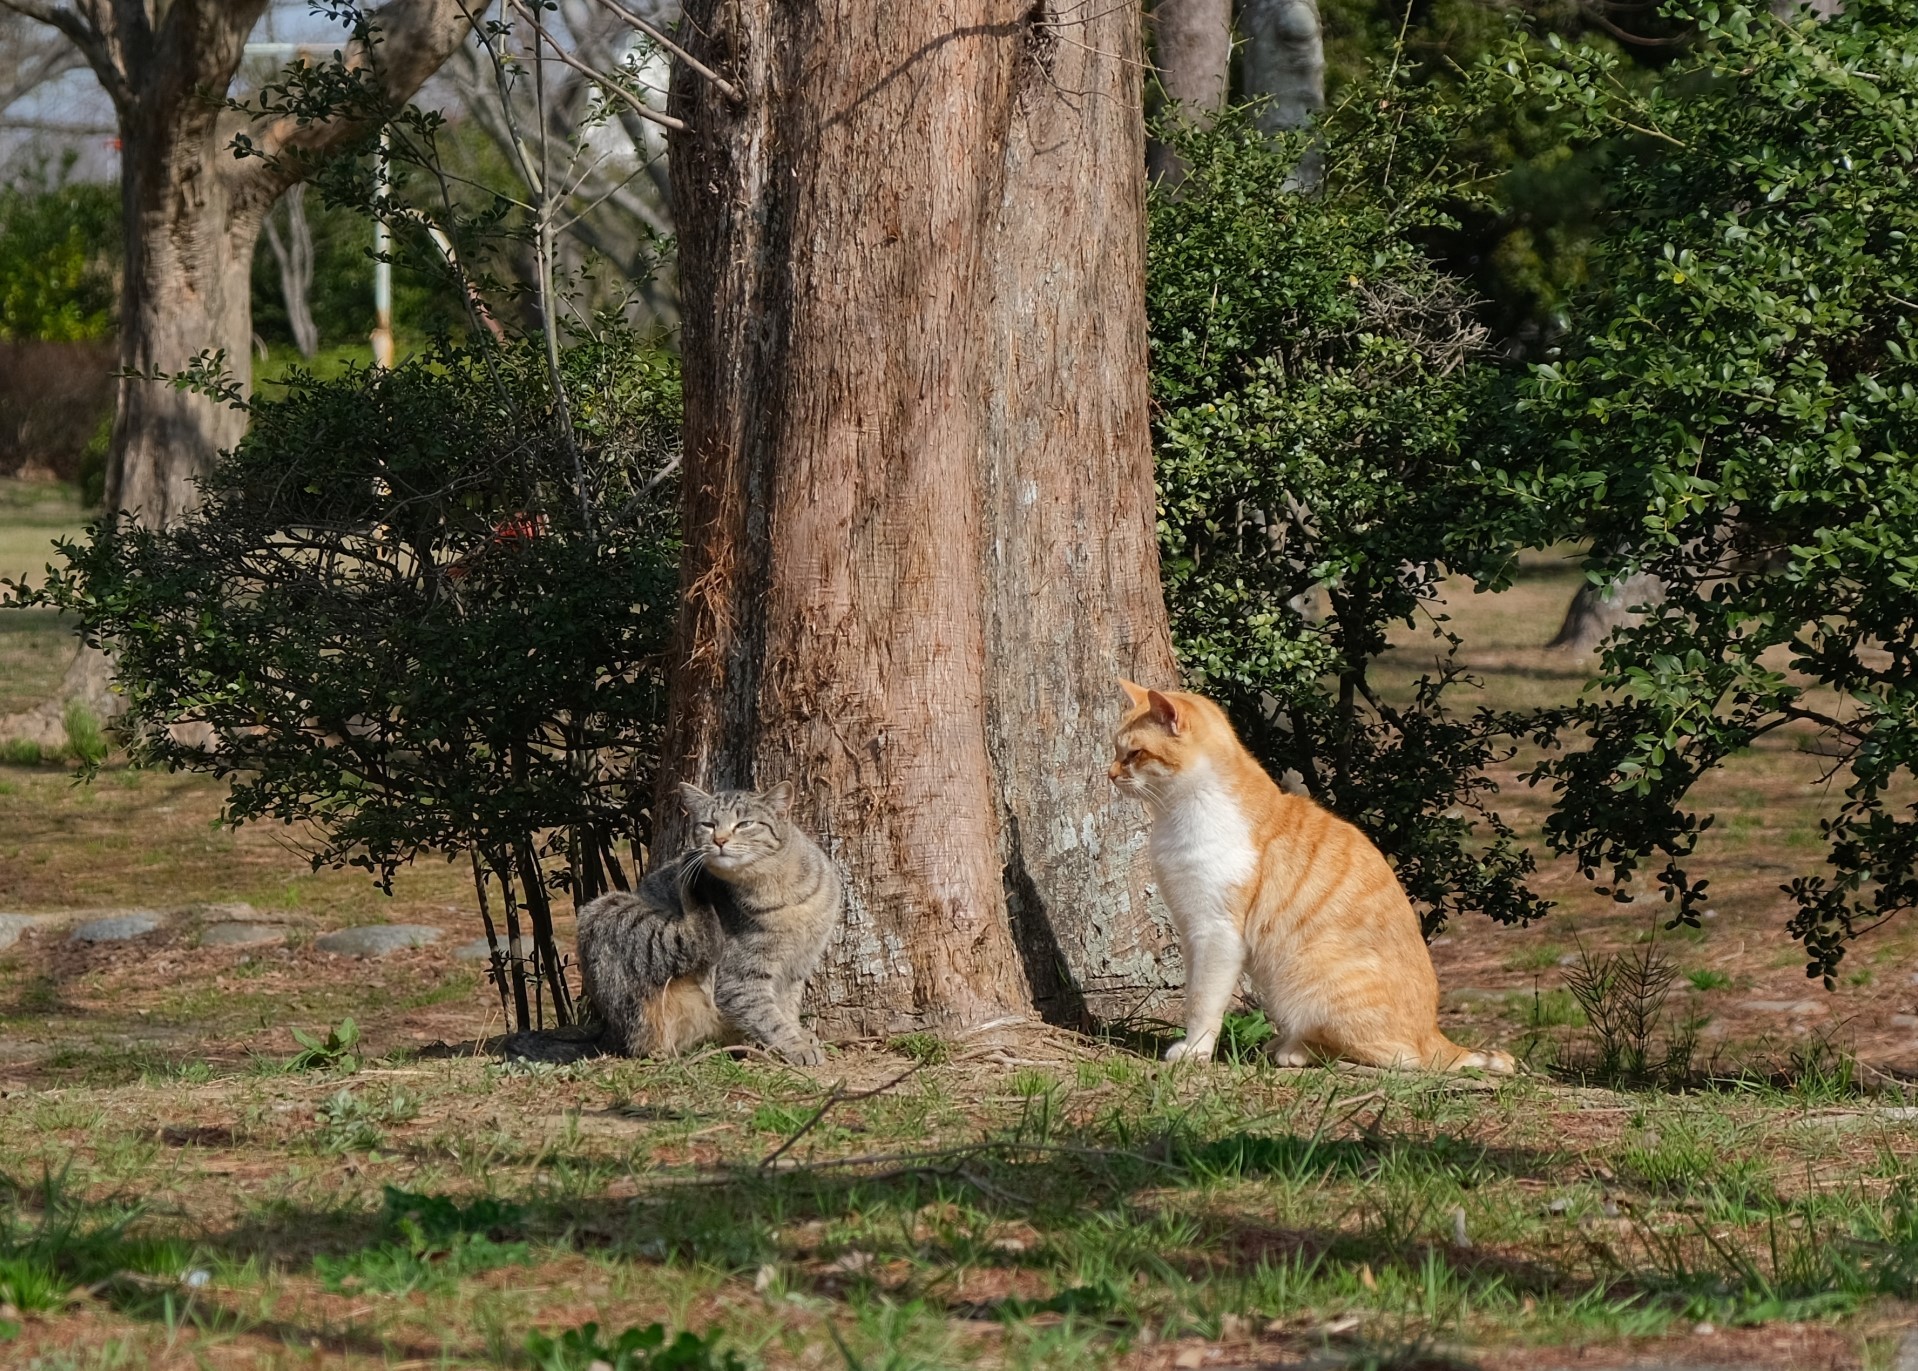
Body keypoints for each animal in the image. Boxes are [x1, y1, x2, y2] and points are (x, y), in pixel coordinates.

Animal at [571, 782, 836, 1058]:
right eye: (708, 824)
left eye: (744, 824)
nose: (719, 840)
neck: (781, 892)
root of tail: (608, 1031)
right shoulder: (740, 980)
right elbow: (769, 1018)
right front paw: (796, 1045)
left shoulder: (798, 965)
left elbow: (788, 1006)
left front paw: (800, 1033)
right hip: (608, 910)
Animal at [1112, 682, 1511, 1081]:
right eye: (1115, 750)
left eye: (1135, 753)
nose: (1110, 774)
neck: (1177, 814)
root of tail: (1434, 1034)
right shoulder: (1190, 927)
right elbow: (1192, 990)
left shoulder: (1216, 933)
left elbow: (1202, 1002)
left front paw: (1194, 1050)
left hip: (1308, 978)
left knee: (1398, 1059)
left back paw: (1294, 1051)